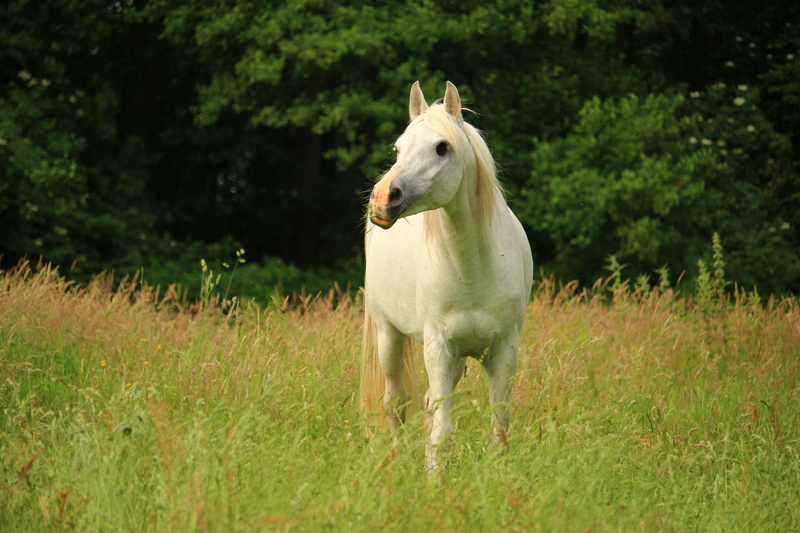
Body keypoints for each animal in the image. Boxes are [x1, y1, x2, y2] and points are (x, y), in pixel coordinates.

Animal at [360, 81, 533, 471]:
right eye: (398, 148)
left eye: (442, 147)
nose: (383, 199)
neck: (474, 269)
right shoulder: (438, 349)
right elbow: (442, 435)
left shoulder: (503, 351)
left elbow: (499, 434)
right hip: (389, 336)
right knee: (395, 403)